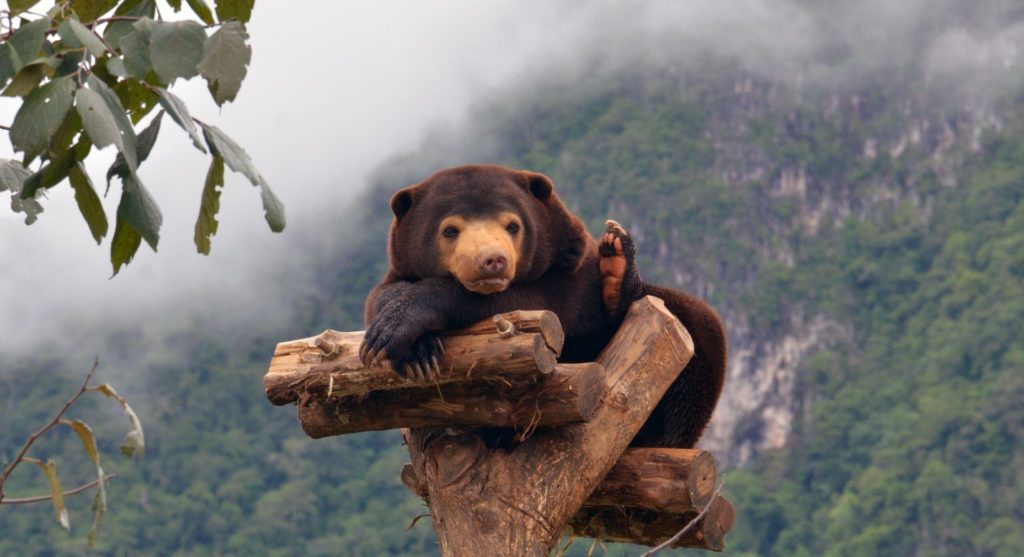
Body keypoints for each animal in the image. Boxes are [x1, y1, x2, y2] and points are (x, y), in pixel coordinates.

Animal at [360, 164, 727, 448]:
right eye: (450, 230)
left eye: (513, 224)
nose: (492, 261)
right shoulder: (400, 268)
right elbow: (380, 295)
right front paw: (415, 350)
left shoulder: (570, 282)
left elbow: (527, 304)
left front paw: (403, 329)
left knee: (698, 327)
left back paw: (618, 263)